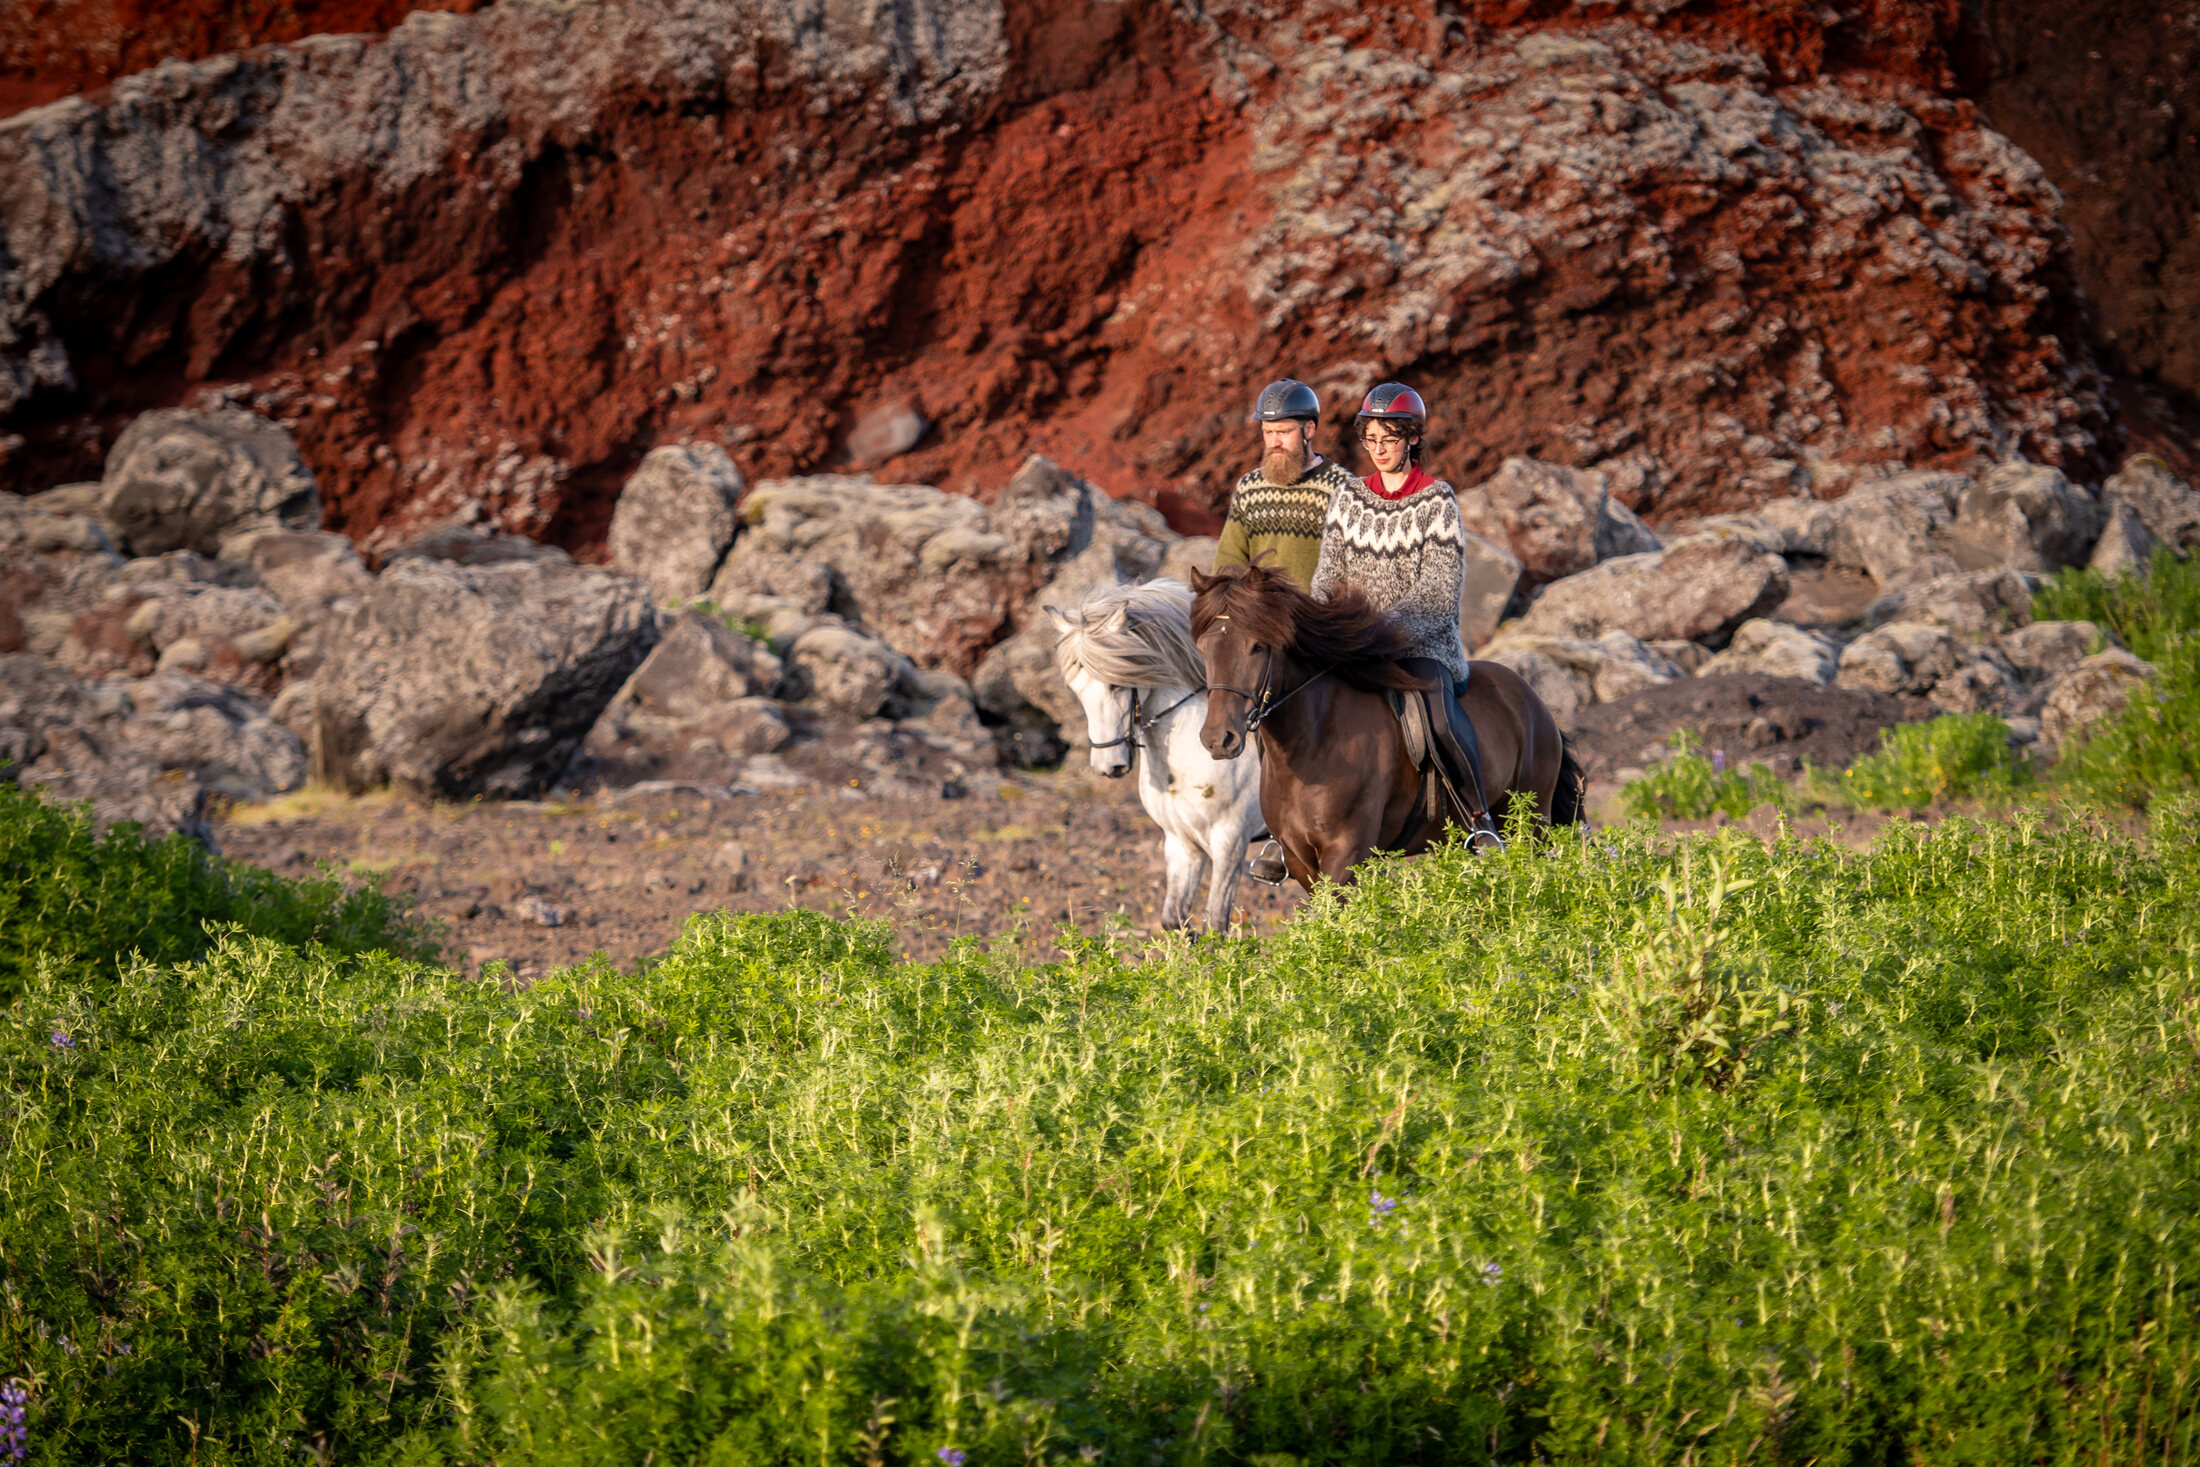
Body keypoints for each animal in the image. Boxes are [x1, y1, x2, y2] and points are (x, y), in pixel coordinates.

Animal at [1048, 580, 1266, 932]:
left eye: (1115, 684)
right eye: (1075, 689)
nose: (1109, 766)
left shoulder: (1230, 842)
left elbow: (1215, 923)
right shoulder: (1181, 843)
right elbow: (1174, 919)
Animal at [1188, 561, 1583, 890]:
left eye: (1257, 647)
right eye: (1204, 649)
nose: (1218, 740)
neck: (1310, 744)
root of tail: (1533, 700)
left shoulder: (1346, 854)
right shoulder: (1301, 860)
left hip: (1530, 823)